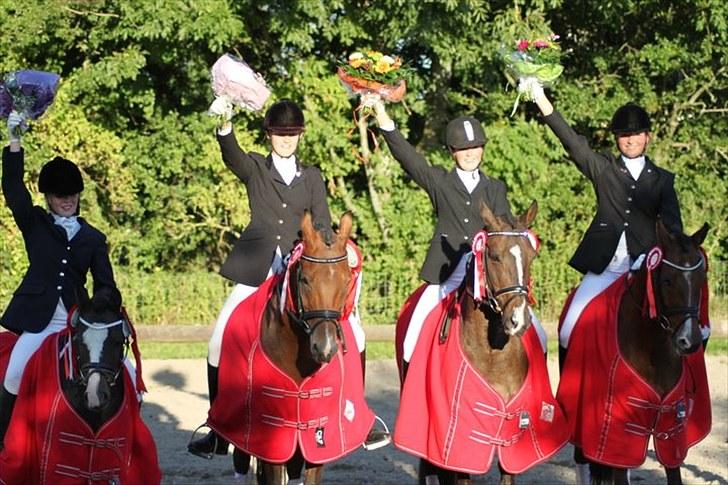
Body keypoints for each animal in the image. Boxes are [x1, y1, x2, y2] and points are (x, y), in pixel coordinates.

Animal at [564, 222, 712, 484]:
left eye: (701, 279)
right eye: (667, 281)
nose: (689, 341)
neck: (653, 349)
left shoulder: (671, 426)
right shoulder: (620, 429)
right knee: (582, 460)